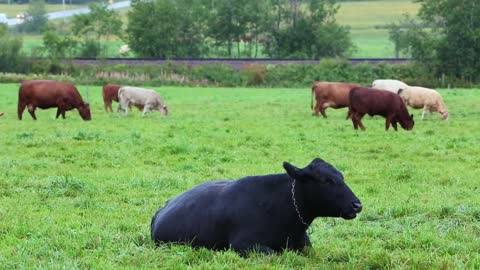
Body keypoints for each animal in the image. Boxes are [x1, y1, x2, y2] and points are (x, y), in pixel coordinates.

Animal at [150, 158, 360, 255]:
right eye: (326, 181)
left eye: (341, 176)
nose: (357, 204)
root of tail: (162, 209)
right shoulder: (242, 244)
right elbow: (273, 253)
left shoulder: (305, 245)